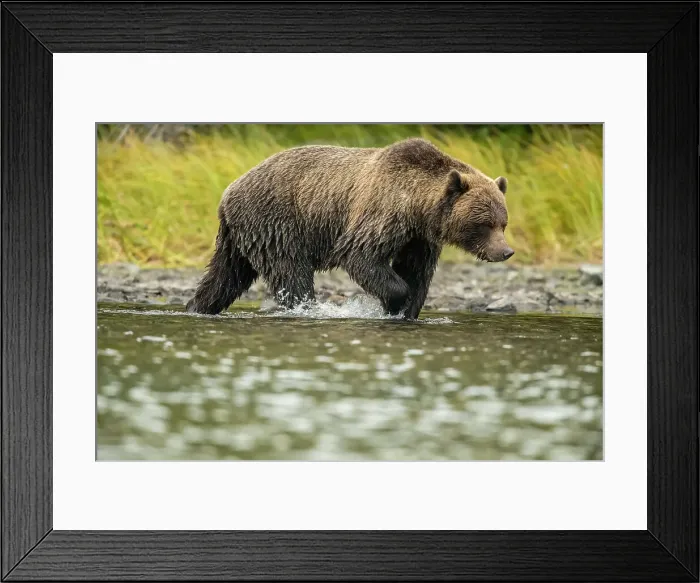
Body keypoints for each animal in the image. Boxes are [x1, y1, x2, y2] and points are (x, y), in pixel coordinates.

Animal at [186, 137, 513, 320]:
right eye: (485, 224)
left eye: (503, 222)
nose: (506, 251)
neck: (417, 207)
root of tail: (228, 193)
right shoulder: (382, 211)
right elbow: (360, 254)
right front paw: (395, 301)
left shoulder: (419, 238)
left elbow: (417, 271)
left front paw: (408, 310)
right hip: (275, 222)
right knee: (291, 273)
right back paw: (305, 308)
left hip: (240, 236)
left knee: (225, 276)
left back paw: (197, 306)